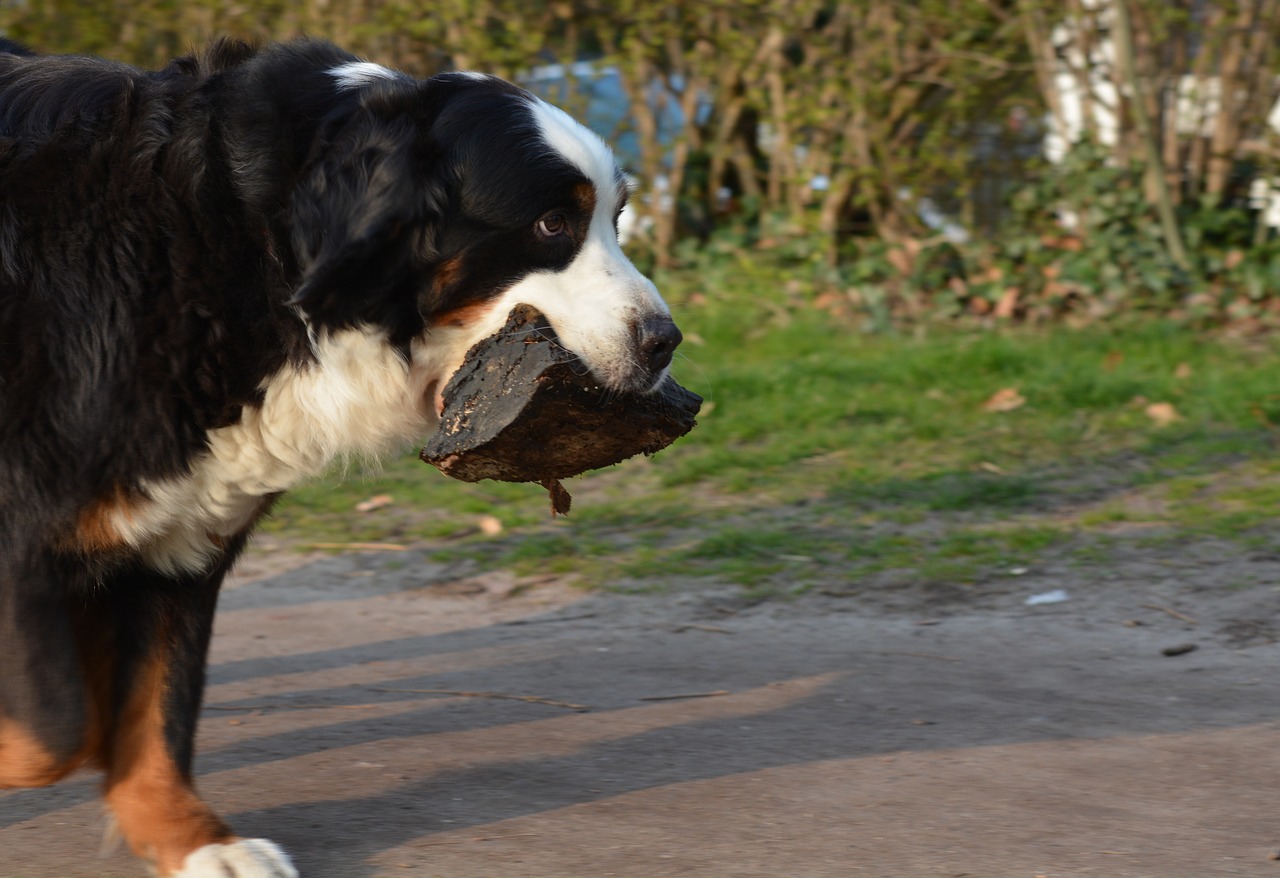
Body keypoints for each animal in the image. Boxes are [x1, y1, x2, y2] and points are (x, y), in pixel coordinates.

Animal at [0, 37, 680, 878]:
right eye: (553, 223)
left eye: (615, 217)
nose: (665, 340)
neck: (242, 248)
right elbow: (56, 731)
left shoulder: (177, 536)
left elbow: (152, 711)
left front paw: (196, 843)